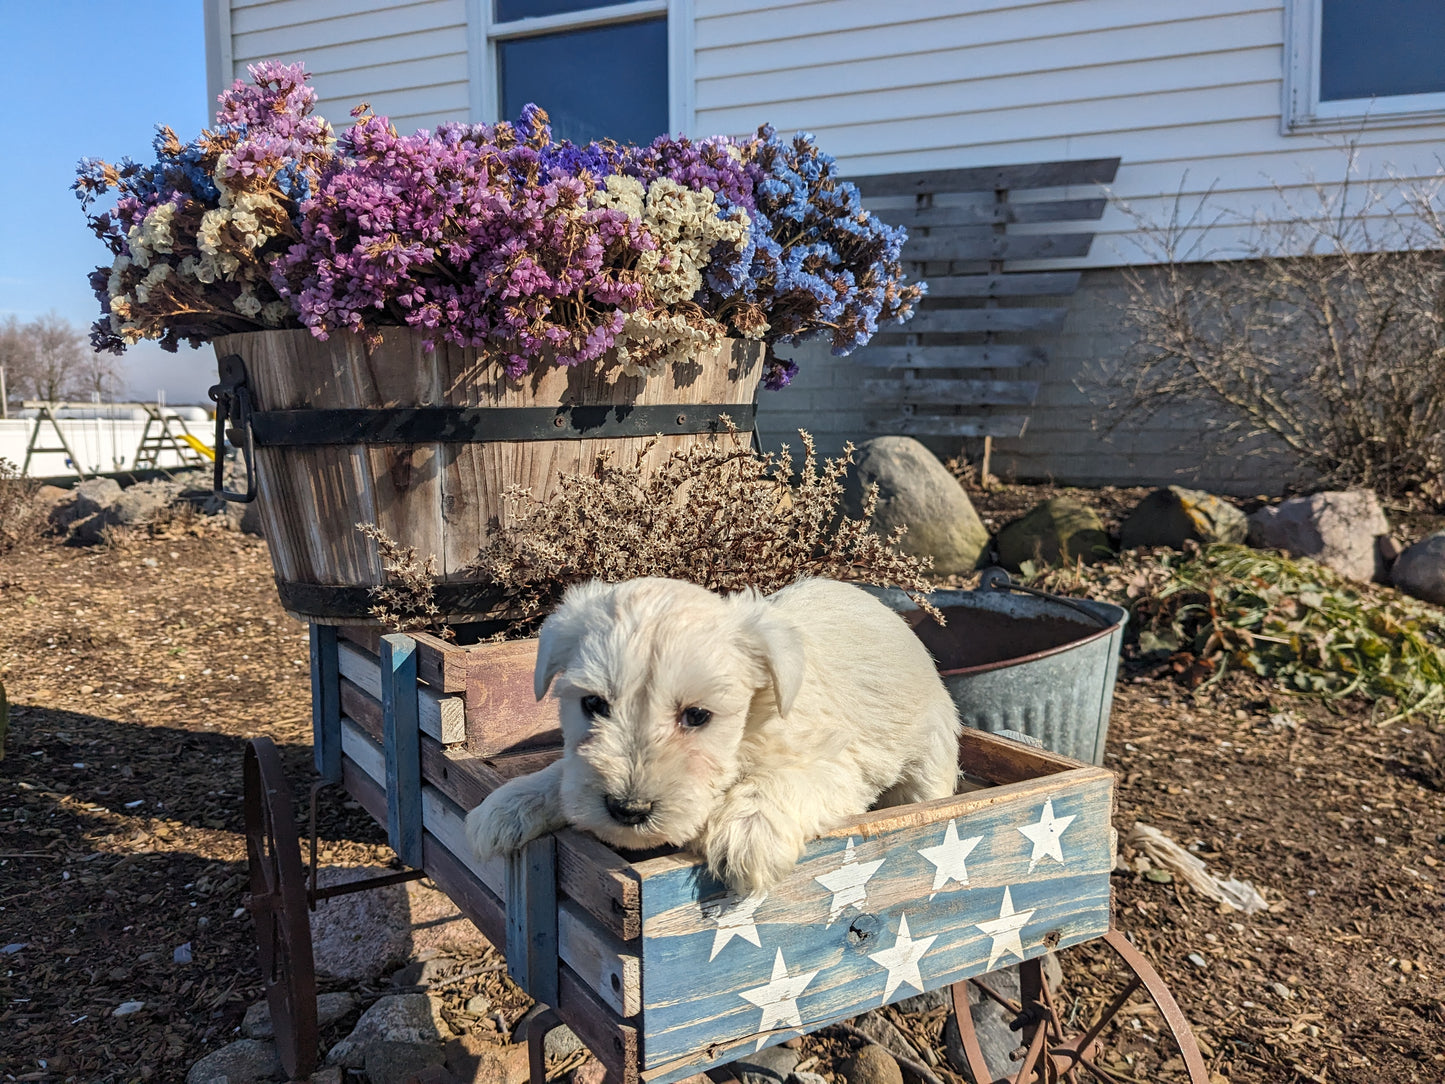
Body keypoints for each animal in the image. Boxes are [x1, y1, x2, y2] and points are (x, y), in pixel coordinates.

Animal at [462, 578, 959, 890]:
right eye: (593, 705)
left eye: (697, 716)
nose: (628, 810)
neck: (746, 736)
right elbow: (563, 774)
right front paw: (508, 805)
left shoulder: (840, 764)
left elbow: (782, 780)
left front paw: (748, 829)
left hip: (928, 764)